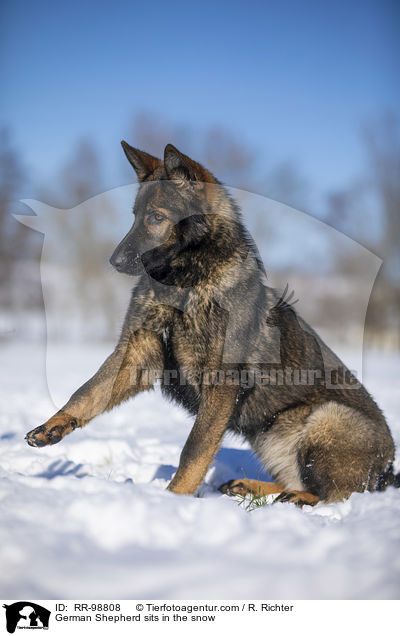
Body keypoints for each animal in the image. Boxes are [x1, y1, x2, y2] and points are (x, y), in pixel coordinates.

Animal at [25, 142, 396, 504]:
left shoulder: (220, 383)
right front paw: (54, 424)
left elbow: (195, 448)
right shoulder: (136, 355)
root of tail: (389, 470)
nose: (114, 261)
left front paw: (173, 499)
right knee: (303, 484)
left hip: (325, 418)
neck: (185, 283)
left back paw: (296, 497)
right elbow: (87, 392)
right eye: (134, 217)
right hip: (269, 436)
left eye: (156, 217)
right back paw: (252, 488)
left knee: (335, 494)